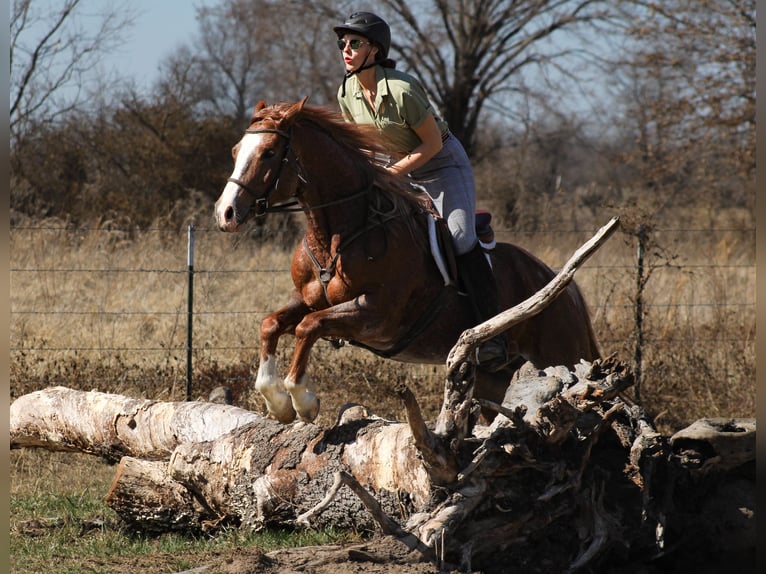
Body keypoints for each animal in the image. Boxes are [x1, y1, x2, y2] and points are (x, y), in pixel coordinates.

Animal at [214, 98, 599, 424]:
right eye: (234, 151)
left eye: (268, 153)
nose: (225, 214)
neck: (338, 234)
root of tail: (562, 285)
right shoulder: (307, 299)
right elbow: (271, 324)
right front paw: (278, 403)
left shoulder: (377, 316)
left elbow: (308, 327)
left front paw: (303, 401)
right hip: (497, 378)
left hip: (561, 354)